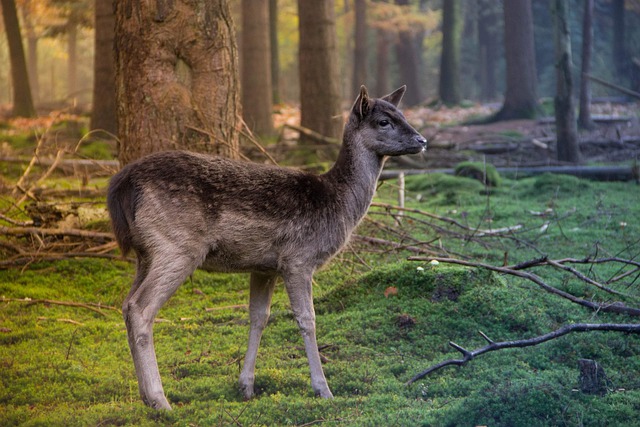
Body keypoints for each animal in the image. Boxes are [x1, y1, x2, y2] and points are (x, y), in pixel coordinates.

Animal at [107, 84, 428, 412]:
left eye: (402, 113)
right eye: (383, 122)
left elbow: (259, 317)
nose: (422, 141)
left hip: (146, 253)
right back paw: (160, 399)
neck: (337, 203)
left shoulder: (265, 266)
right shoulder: (298, 258)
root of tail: (121, 185)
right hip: (177, 246)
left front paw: (246, 386)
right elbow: (307, 318)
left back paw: (146, 395)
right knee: (140, 307)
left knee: (126, 304)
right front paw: (323, 389)